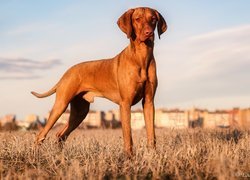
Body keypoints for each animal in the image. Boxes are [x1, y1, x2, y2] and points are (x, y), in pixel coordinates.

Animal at [32, 7, 167, 155]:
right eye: (137, 19)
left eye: (153, 19)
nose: (149, 33)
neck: (141, 57)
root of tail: (66, 73)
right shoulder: (125, 103)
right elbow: (128, 136)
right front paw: (129, 157)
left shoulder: (148, 102)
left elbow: (152, 134)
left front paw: (153, 155)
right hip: (61, 105)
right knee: (41, 135)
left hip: (80, 112)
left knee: (61, 135)